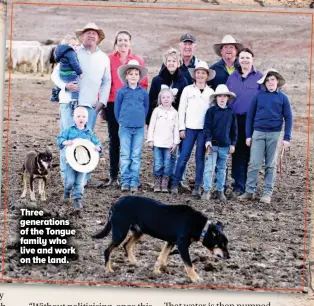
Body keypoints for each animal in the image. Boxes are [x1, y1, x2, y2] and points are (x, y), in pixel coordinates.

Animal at [92, 196, 229, 282]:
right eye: (221, 245)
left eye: (226, 244)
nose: (228, 257)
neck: (201, 227)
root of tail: (115, 203)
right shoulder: (182, 245)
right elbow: (189, 264)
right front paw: (196, 279)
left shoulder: (171, 242)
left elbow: (162, 257)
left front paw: (157, 270)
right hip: (121, 232)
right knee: (108, 250)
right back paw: (108, 270)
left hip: (139, 231)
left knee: (126, 245)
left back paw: (134, 262)